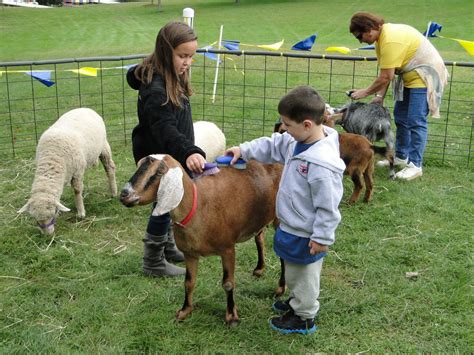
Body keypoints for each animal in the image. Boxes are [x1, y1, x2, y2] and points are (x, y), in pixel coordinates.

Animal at [19, 108, 118, 236]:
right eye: (35, 218)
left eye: (52, 214)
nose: (47, 235)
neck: (52, 158)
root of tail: (85, 108)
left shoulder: (77, 172)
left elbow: (77, 191)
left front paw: (81, 213)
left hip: (103, 146)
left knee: (109, 167)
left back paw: (113, 192)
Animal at [120, 154, 282, 326]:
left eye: (158, 173)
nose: (124, 195)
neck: (197, 207)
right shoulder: (189, 254)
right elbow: (188, 282)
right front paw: (184, 311)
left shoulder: (228, 249)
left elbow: (228, 283)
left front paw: (231, 316)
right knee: (260, 239)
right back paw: (259, 269)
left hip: (279, 220)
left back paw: (280, 289)